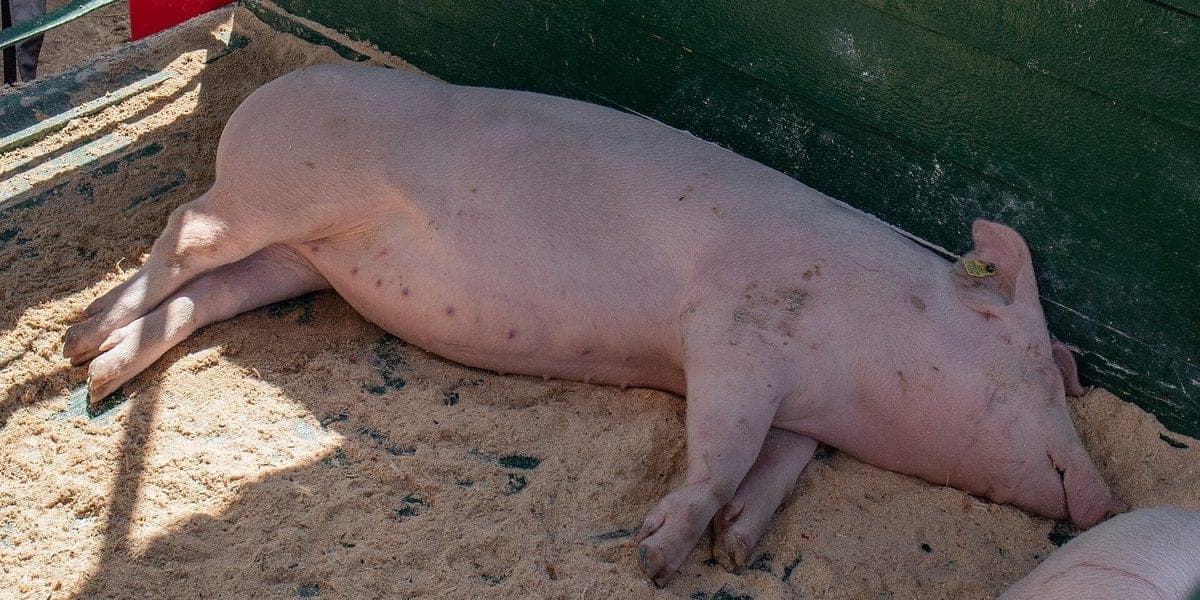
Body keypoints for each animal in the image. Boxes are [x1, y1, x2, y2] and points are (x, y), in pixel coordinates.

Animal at [61, 64, 1126, 586]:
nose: (1110, 499)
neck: (856, 354)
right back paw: (77, 342)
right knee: (181, 229)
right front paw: (657, 559)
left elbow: (780, 464)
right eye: (1035, 366)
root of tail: (267, 92)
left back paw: (104, 373)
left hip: (300, 259)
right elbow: (721, 447)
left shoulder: (799, 407)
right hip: (271, 195)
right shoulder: (730, 334)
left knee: (212, 291)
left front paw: (738, 550)